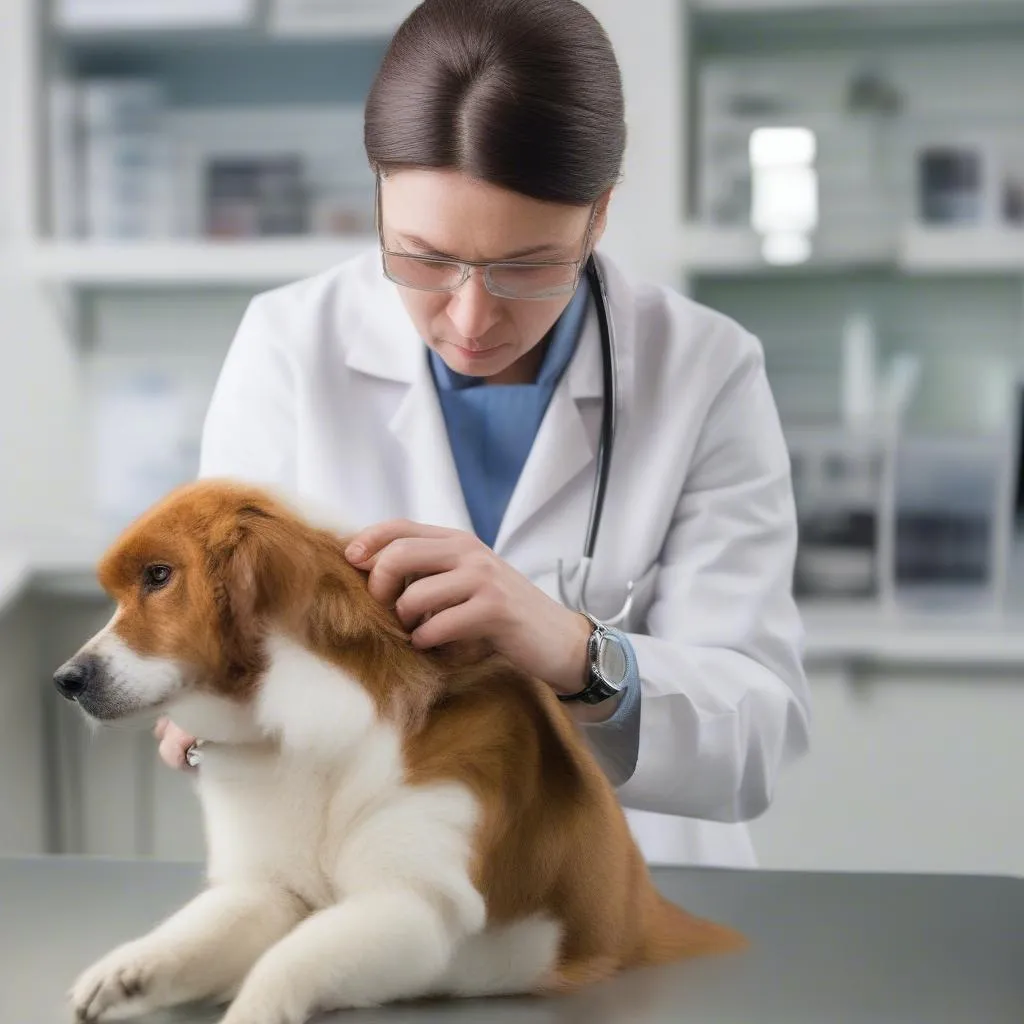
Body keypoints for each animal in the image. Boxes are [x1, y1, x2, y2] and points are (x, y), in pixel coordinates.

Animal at [54, 477, 745, 1024]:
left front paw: (252, 1009)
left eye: (158, 576)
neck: (312, 732)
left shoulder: (415, 905)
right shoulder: (274, 889)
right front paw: (133, 966)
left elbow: (288, 962)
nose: (66, 679)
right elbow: (204, 929)